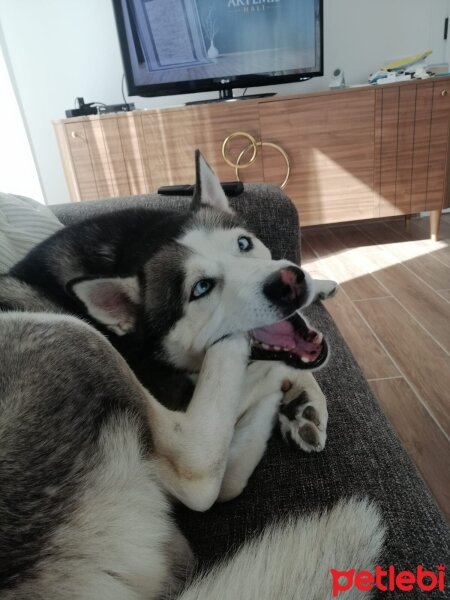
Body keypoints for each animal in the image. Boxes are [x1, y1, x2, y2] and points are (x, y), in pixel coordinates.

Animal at [0, 154, 384, 596]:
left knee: (224, 481)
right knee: (199, 472)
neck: (132, 251)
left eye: (243, 243)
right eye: (201, 288)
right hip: (64, 331)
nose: (289, 282)